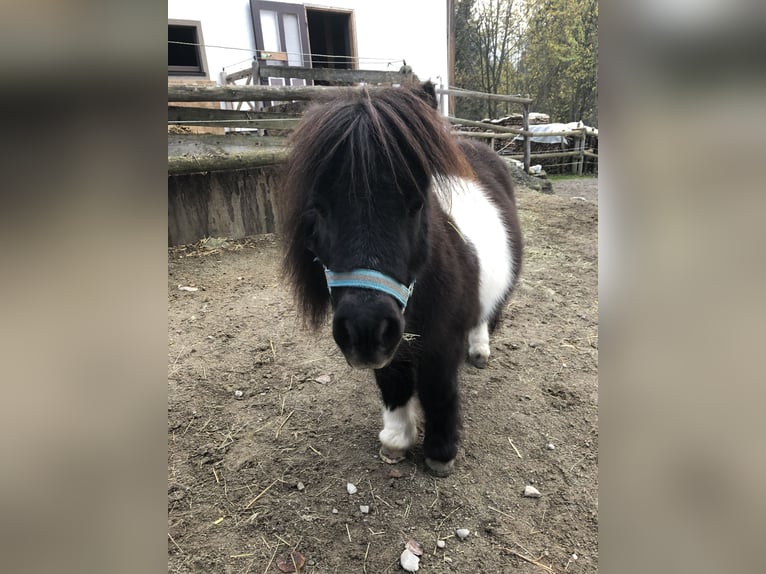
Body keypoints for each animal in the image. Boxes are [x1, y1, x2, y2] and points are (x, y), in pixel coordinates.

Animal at [282, 82, 520, 476]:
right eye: (319, 207)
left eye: (416, 203)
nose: (364, 328)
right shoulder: (393, 342)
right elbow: (392, 382)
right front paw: (395, 441)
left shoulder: (442, 344)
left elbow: (438, 390)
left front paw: (441, 452)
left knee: (484, 317)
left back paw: (479, 350)